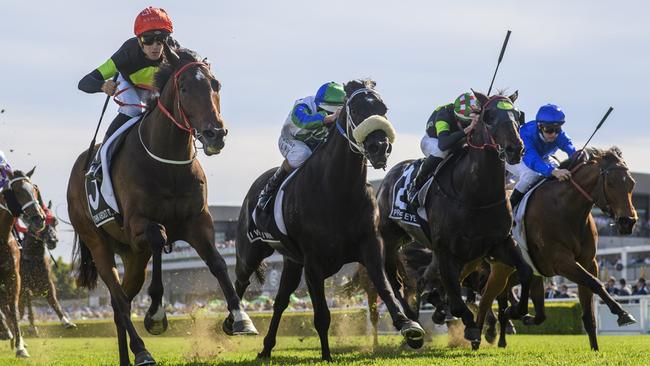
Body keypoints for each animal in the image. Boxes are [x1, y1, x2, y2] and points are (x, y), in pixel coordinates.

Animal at [66, 48, 256, 366]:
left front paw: (240, 318)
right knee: (119, 299)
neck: (168, 163)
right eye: (184, 88)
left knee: (121, 303)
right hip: (99, 243)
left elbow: (217, 262)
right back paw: (142, 350)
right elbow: (159, 237)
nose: (215, 133)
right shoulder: (137, 224)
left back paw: (128, 357)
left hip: (132, 256)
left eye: (215, 84)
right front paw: (156, 314)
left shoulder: (197, 222)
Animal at [233, 79, 426, 360]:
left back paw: (266, 348)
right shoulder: (313, 263)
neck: (338, 191)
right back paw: (235, 324)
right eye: (355, 109)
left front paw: (409, 326)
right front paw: (326, 355)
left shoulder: (370, 246)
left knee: (280, 301)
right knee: (240, 281)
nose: (380, 146)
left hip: (292, 261)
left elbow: (386, 287)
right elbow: (322, 315)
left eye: (384, 109)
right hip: (250, 252)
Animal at [374, 91, 532, 344]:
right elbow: (457, 302)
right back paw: (412, 323)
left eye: (518, 115)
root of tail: (389, 176)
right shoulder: (446, 250)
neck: (475, 195)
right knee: (395, 280)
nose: (515, 149)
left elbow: (525, 274)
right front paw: (472, 327)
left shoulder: (499, 243)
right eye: (489, 116)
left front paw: (515, 311)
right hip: (390, 240)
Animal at [474, 147, 636, 350]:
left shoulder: (588, 262)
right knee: (484, 295)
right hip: (495, 268)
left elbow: (588, 310)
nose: (628, 222)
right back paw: (486, 330)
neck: (566, 209)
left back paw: (504, 330)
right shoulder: (561, 261)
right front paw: (622, 313)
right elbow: (595, 283)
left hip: (512, 274)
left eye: (631, 183)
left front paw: (595, 349)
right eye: (611, 183)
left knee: (500, 298)